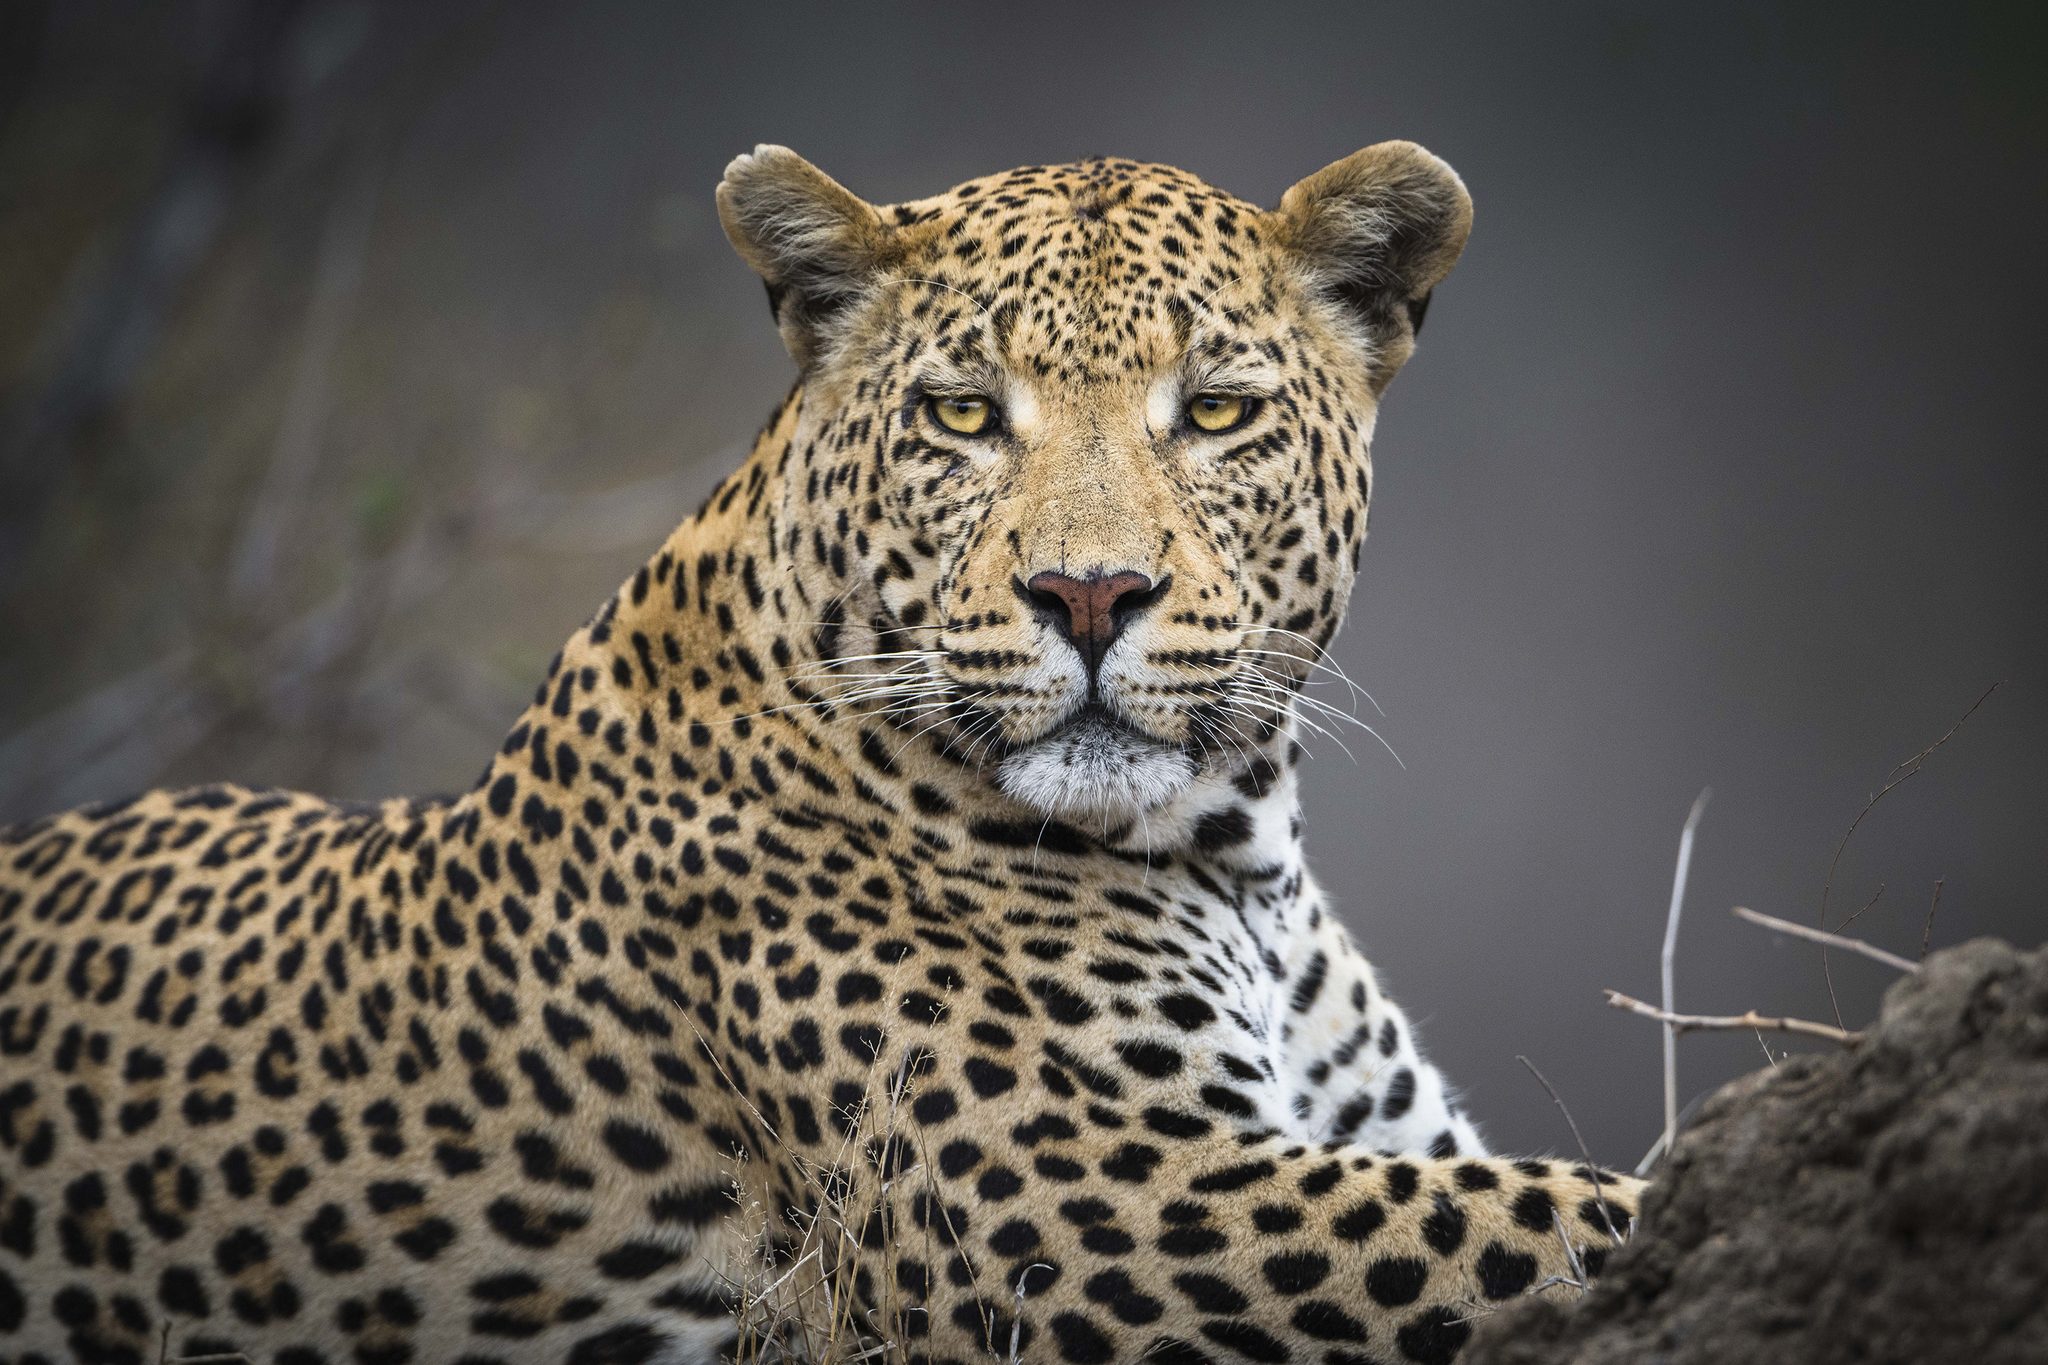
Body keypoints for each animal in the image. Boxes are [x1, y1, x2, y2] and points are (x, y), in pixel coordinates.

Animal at [0, 142, 1643, 1365]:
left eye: (1219, 412)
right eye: (962, 414)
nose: (1090, 594)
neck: (1234, 852)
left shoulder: (1345, 1137)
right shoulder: (1094, 1211)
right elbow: (1563, 1216)